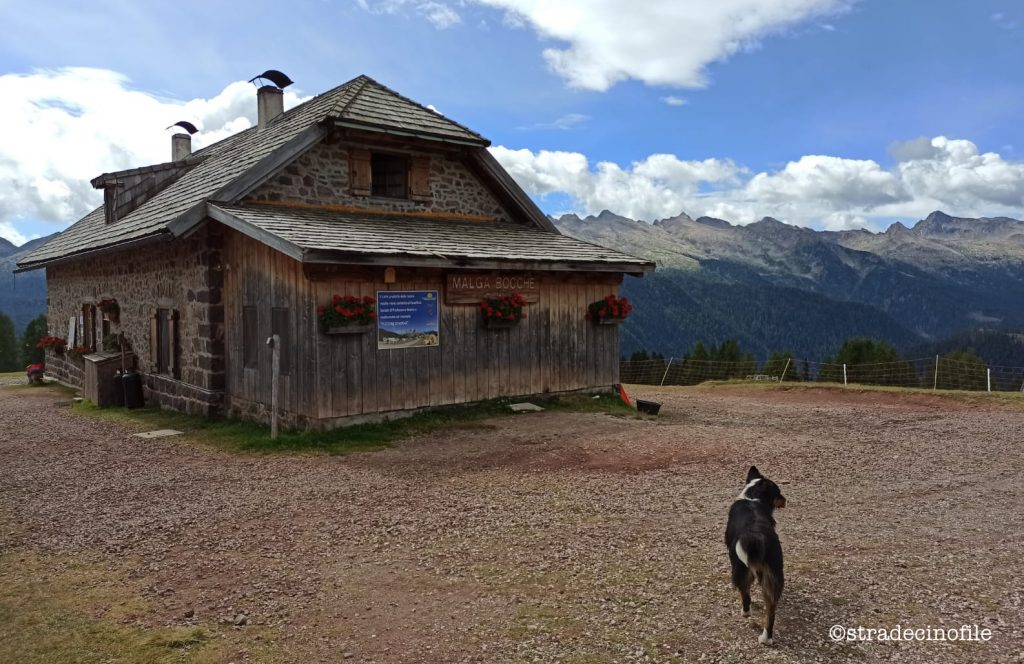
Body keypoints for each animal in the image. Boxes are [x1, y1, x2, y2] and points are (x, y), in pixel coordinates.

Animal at [724, 465, 786, 647]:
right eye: (778, 493)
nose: (786, 500)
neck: (753, 497)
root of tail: (756, 535)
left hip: (740, 565)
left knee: (744, 591)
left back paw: (746, 612)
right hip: (774, 573)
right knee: (771, 609)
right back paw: (767, 638)